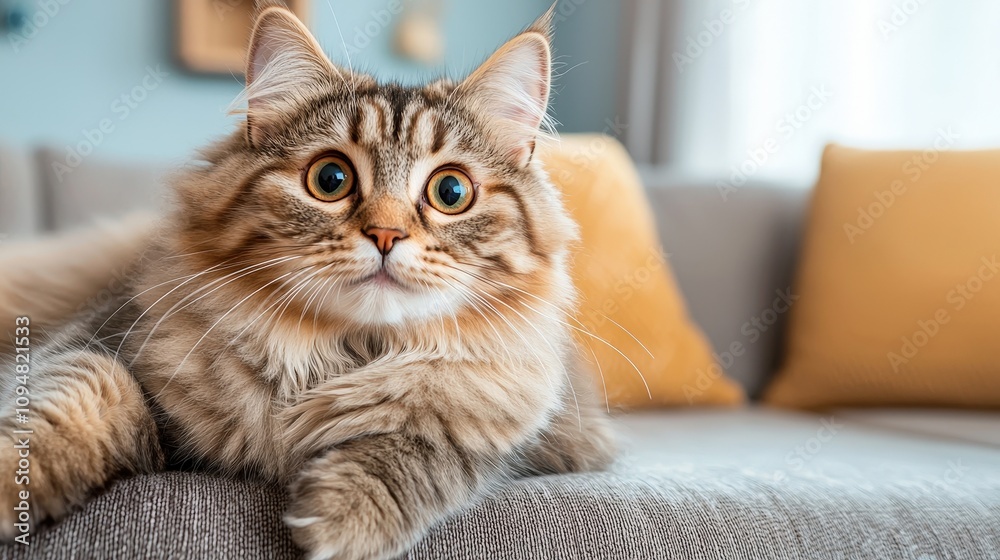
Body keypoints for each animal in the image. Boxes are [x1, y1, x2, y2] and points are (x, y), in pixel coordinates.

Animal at [0, 5, 616, 560]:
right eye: (331, 179)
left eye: (451, 192)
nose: (386, 234)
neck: (333, 353)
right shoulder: (99, 335)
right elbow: (77, 399)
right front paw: (12, 482)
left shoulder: (531, 430)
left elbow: (432, 441)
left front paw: (346, 512)